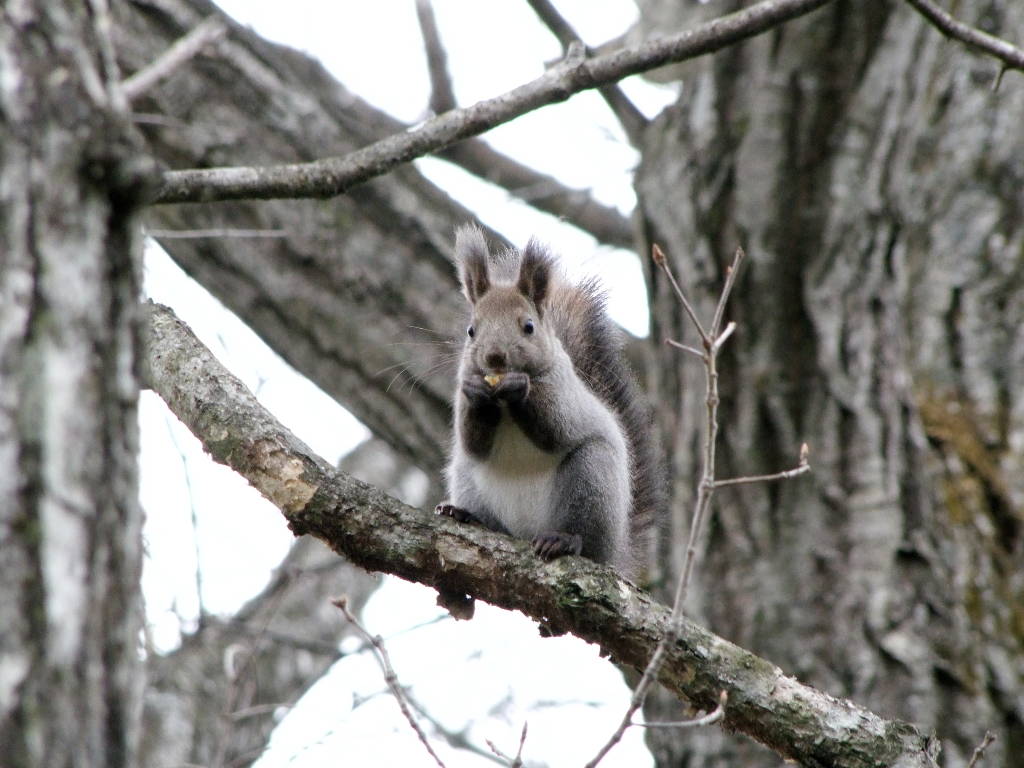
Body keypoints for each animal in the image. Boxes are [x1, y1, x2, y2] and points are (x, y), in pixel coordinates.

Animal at [438, 225, 663, 581]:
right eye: (471, 331)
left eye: (528, 327)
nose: (495, 357)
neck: (503, 405)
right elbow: (472, 441)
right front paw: (477, 393)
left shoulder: (564, 391)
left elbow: (556, 427)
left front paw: (521, 389)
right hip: (468, 477)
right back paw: (466, 515)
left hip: (591, 476)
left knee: (584, 536)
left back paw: (563, 540)